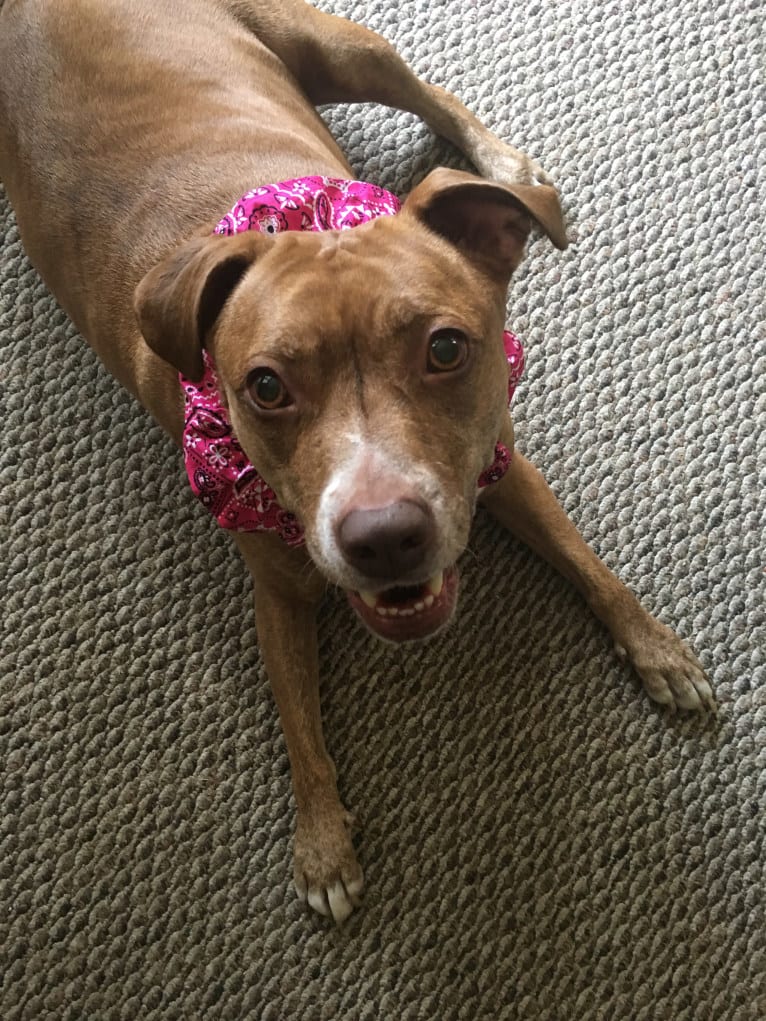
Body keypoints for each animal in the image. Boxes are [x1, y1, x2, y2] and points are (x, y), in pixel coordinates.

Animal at [0, 0, 719, 927]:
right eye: (265, 386)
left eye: (446, 347)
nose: (383, 537)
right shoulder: (277, 590)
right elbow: (297, 719)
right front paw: (322, 843)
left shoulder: (497, 466)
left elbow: (591, 564)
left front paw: (659, 650)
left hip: (339, 48)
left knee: (429, 94)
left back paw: (502, 162)